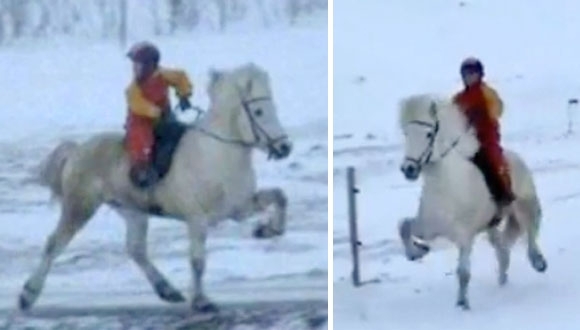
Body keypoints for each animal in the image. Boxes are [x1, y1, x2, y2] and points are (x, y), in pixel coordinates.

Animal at [18, 63, 294, 314]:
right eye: (258, 111)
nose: (285, 148)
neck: (217, 152)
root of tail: (76, 150)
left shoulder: (239, 208)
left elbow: (280, 197)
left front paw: (266, 230)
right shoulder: (197, 218)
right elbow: (197, 261)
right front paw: (201, 302)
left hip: (133, 211)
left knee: (136, 250)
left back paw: (168, 290)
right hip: (80, 206)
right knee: (55, 243)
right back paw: (27, 295)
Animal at [396, 93, 548, 310]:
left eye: (428, 134)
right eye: (406, 134)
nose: (409, 169)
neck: (446, 189)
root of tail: (516, 158)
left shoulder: (465, 238)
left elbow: (463, 272)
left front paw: (462, 304)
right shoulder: (427, 229)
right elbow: (404, 226)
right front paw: (417, 252)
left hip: (523, 207)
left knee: (530, 232)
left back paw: (538, 262)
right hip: (491, 226)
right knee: (503, 251)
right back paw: (502, 284)